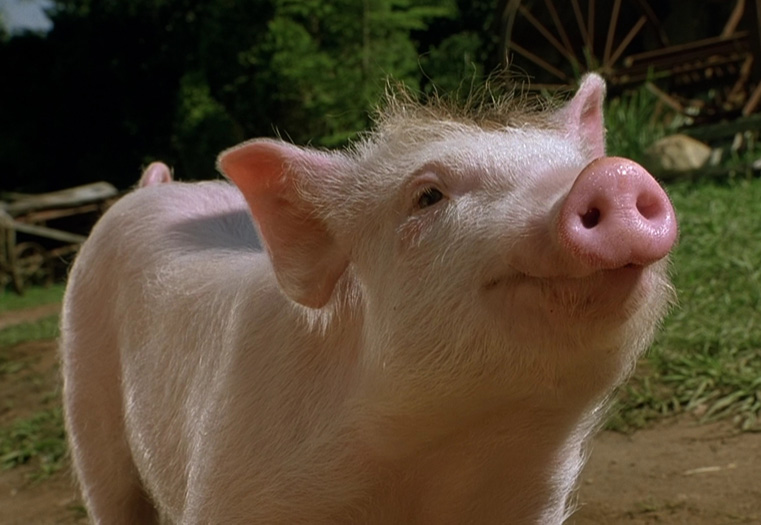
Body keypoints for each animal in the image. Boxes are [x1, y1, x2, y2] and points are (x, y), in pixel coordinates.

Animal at [60, 73, 677, 525]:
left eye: (576, 166)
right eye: (427, 196)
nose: (613, 174)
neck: (435, 456)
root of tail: (154, 187)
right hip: (86, 405)